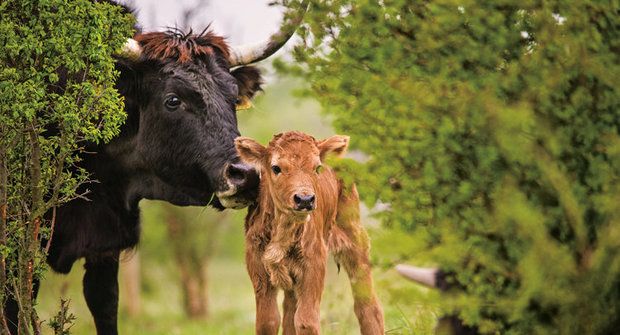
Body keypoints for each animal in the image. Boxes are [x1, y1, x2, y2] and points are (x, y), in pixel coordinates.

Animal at [236, 132, 386, 335]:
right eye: (276, 168)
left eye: (317, 167)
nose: (305, 199)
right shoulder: (258, 268)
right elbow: (268, 321)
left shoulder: (313, 265)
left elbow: (306, 321)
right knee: (289, 311)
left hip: (355, 242)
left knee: (367, 306)